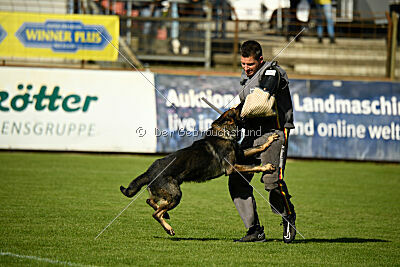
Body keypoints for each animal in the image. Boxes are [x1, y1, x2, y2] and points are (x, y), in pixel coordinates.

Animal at [120, 105, 278, 237]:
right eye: (236, 109)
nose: (243, 102)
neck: (224, 133)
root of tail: (150, 172)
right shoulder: (231, 168)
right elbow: (252, 166)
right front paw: (266, 167)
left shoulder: (240, 155)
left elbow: (257, 148)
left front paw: (269, 140)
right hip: (176, 194)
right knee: (156, 214)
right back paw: (168, 228)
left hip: (166, 194)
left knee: (150, 201)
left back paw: (164, 214)